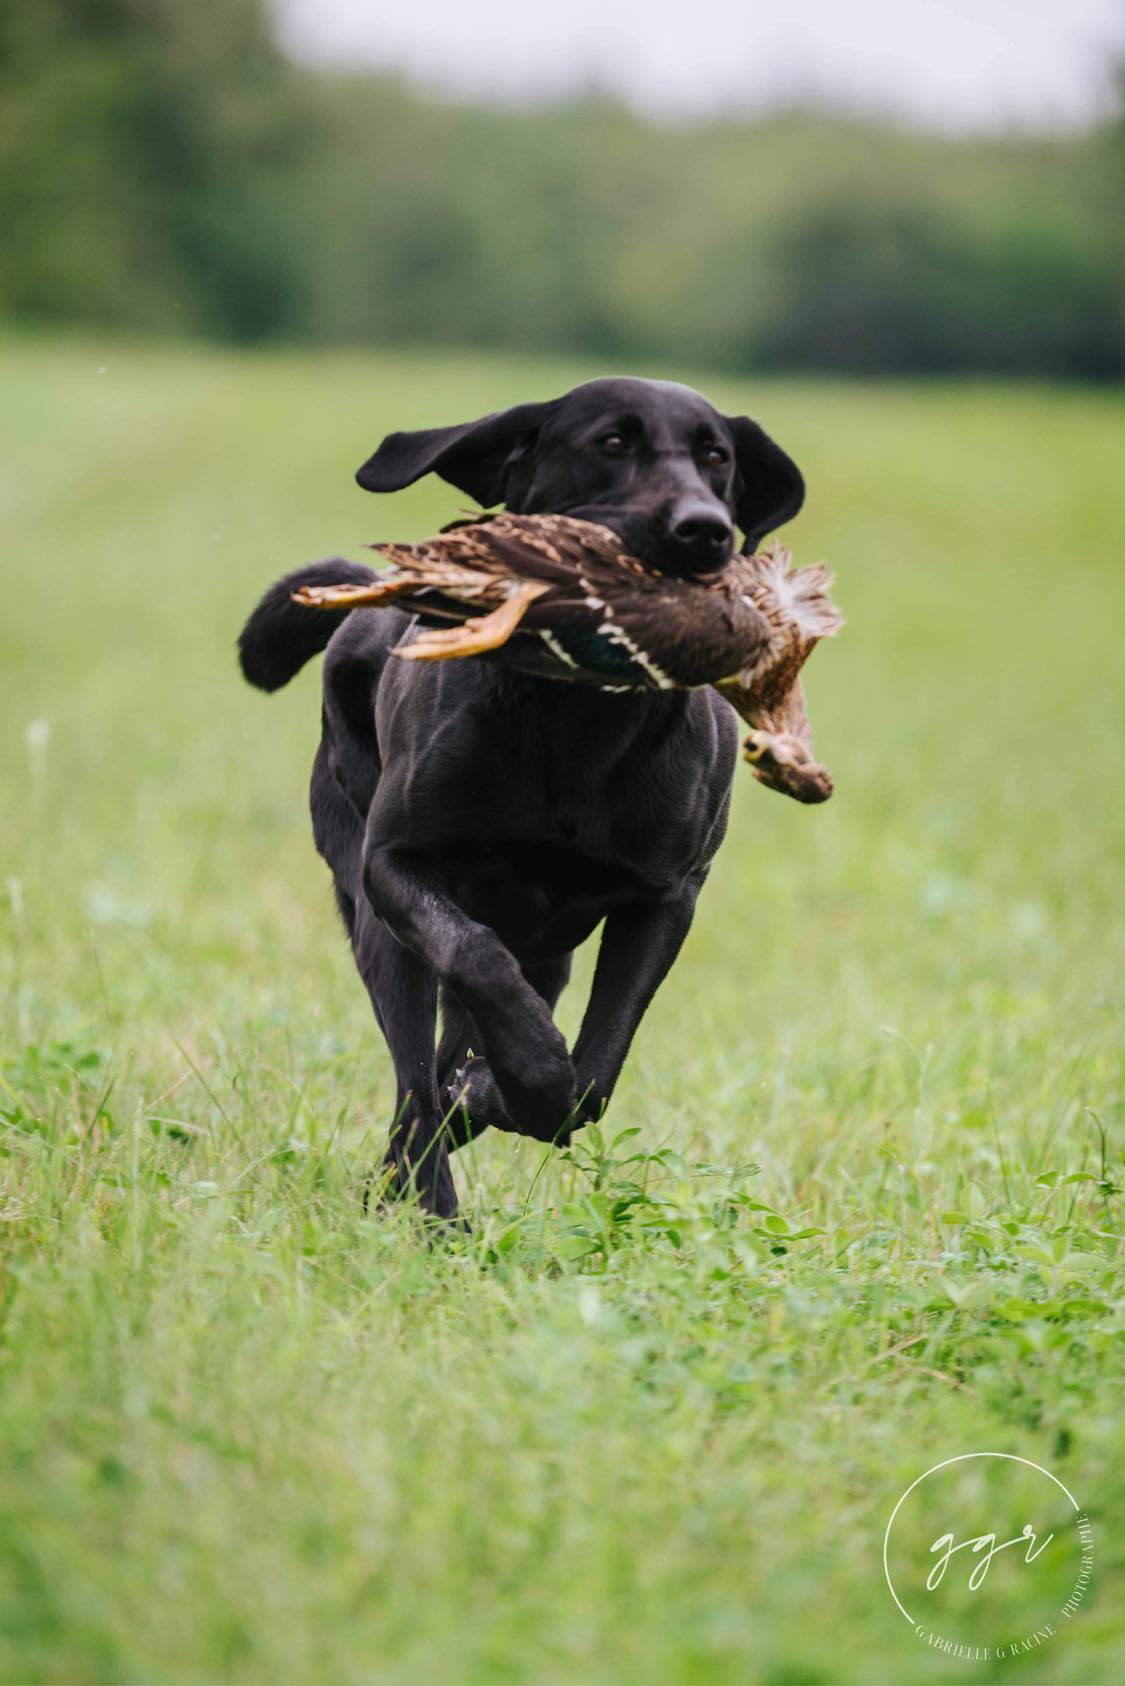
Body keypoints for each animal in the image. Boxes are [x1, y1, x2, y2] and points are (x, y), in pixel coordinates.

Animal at [239, 377, 799, 1220]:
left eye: (716, 458)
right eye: (610, 443)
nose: (703, 530)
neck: (578, 719)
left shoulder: (665, 897)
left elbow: (596, 1064)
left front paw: (512, 1095)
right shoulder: (398, 865)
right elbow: (475, 965)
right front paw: (526, 1078)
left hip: (547, 950)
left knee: (444, 1065)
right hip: (377, 920)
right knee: (414, 1076)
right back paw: (431, 1205)